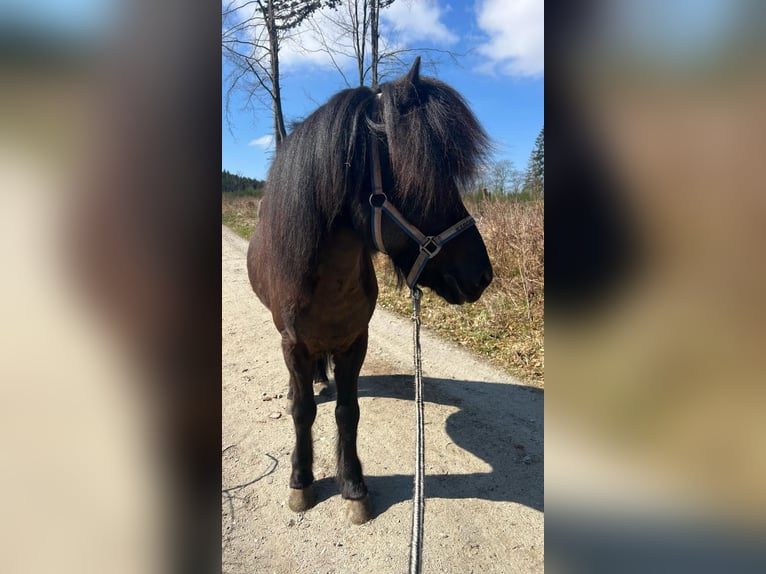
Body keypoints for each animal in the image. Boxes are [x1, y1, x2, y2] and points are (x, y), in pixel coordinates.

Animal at [247, 57, 493, 524]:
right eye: (421, 178)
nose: (482, 275)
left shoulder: (353, 342)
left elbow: (348, 411)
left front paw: (354, 486)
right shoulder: (293, 343)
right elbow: (303, 411)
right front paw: (301, 481)